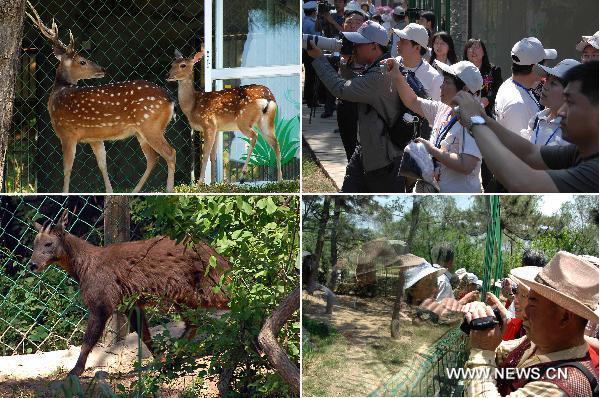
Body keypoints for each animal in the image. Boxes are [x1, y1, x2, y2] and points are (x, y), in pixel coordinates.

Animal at [26, 0, 176, 193]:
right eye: (82, 61)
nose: (102, 69)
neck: (58, 97)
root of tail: (170, 99)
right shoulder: (94, 138)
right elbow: (102, 164)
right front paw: (110, 191)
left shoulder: (68, 132)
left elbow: (67, 168)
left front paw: (64, 192)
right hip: (142, 131)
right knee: (152, 158)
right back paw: (135, 191)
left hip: (150, 125)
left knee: (170, 153)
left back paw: (169, 189)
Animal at [29, 210, 232, 378]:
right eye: (34, 243)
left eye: (48, 243)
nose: (32, 265)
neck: (84, 266)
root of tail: (218, 257)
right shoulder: (130, 304)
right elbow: (145, 335)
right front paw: (161, 361)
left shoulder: (101, 304)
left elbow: (87, 341)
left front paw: (75, 371)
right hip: (185, 296)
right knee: (194, 323)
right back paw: (174, 357)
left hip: (203, 291)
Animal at [166, 48, 284, 183]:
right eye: (172, 64)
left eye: (183, 65)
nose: (167, 76)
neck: (192, 106)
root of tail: (268, 97)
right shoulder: (217, 129)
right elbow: (213, 156)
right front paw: (212, 182)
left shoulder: (208, 124)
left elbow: (205, 155)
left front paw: (200, 182)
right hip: (266, 121)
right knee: (276, 143)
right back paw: (280, 179)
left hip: (243, 120)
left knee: (254, 136)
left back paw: (243, 175)